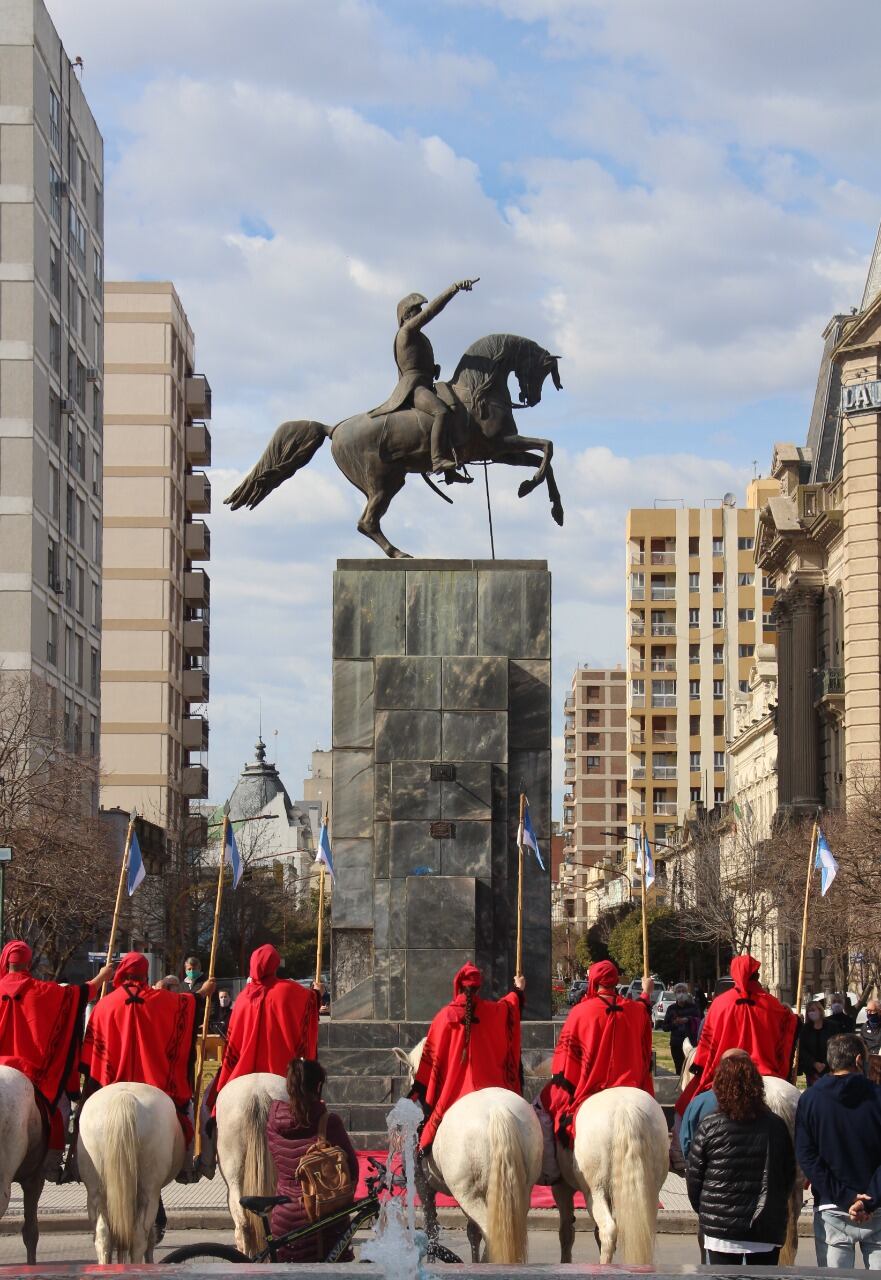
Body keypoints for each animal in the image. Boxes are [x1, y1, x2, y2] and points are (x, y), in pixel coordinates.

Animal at [78, 1080, 184, 1259]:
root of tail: (124, 1096)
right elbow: (149, 1238)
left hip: (96, 1192)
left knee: (103, 1236)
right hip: (149, 1192)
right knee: (139, 1239)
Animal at [394, 1039, 542, 1259]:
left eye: (412, 1070)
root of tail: (498, 1110)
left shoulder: (422, 1184)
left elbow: (431, 1229)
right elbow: (471, 1232)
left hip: (467, 1193)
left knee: (490, 1233)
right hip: (521, 1189)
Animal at [550, 1085, 665, 1264]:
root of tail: (626, 1108)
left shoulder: (562, 1188)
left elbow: (566, 1231)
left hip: (595, 1192)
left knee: (608, 1230)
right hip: (650, 1192)